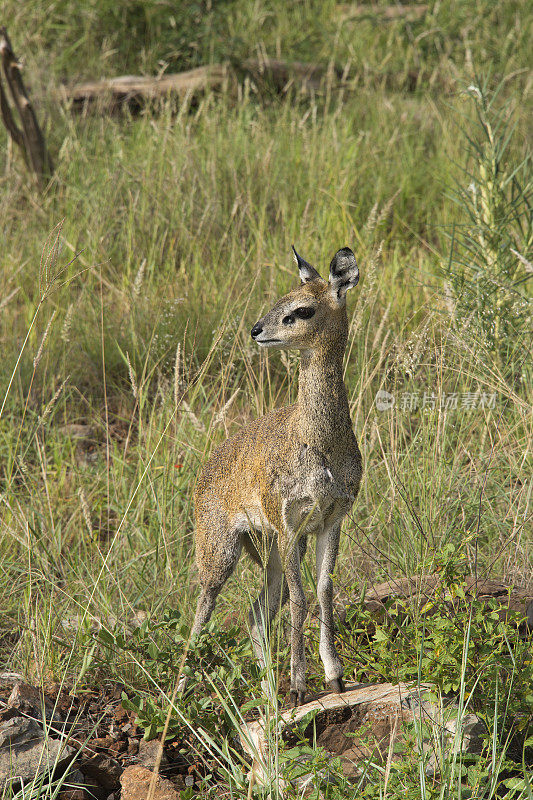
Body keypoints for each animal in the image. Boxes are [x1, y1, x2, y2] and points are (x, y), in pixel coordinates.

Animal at [187, 245, 362, 708]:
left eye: (302, 309)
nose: (257, 330)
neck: (320, 442)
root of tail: (204, 472)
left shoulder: (330, 520)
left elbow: (323, 592)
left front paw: (334, 676)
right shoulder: (289, 523)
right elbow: (303, 599)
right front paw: (300, 684)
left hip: (267, 553)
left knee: (255, 614)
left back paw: (269, 695)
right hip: (220, 552)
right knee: (201, 612)